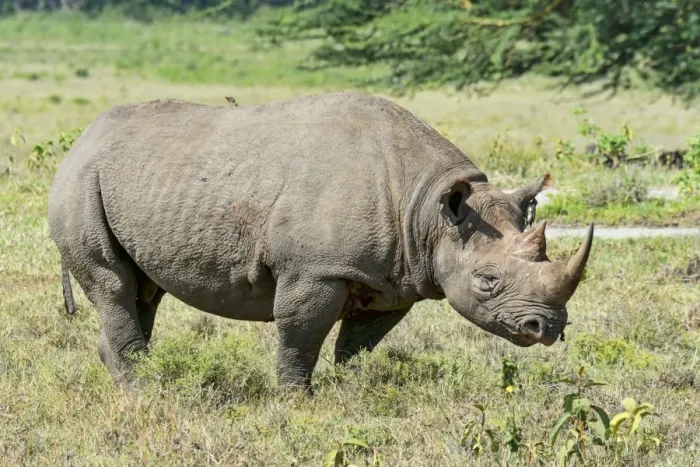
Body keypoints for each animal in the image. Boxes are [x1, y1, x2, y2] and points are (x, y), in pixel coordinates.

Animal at [48, 91, 593, 392]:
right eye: (486, 281)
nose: (547, 328)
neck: (426, 209)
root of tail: (82, 137)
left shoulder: (392, 278)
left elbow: (360, 343)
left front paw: (354, 389)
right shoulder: (316, 269)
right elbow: (300, 336)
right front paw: (296, 401)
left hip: (130, 182)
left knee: (144, 290)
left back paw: (139, 378)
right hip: (81, 180)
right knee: (114, 284)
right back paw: (146, 390)